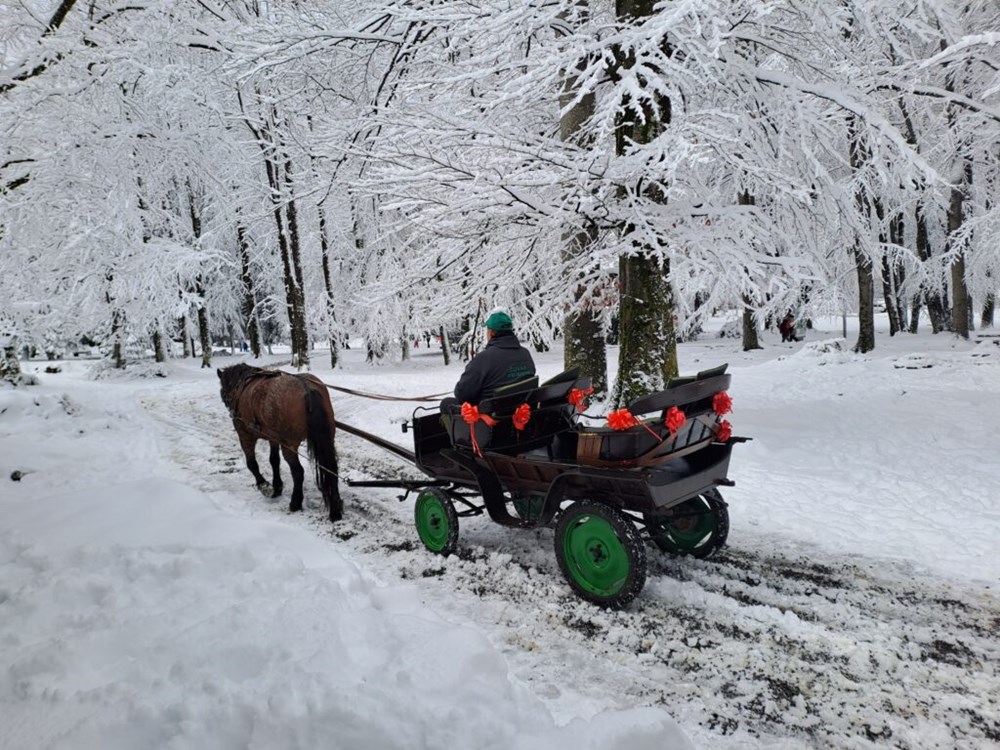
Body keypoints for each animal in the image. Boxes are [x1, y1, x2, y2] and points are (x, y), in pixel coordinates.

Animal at [217, 364, 342, 524]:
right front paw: (277, 487)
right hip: (326, 438)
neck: (241, 386)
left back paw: (295, 502)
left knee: (298, 472)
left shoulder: (245, 435)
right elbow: (274, 461)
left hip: (289, 445)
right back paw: (335, 510)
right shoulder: (273, 437)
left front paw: (264, 486)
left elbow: (252, 463)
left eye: (223, 388)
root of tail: (307, 388)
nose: (227, 402)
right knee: (332, 469)